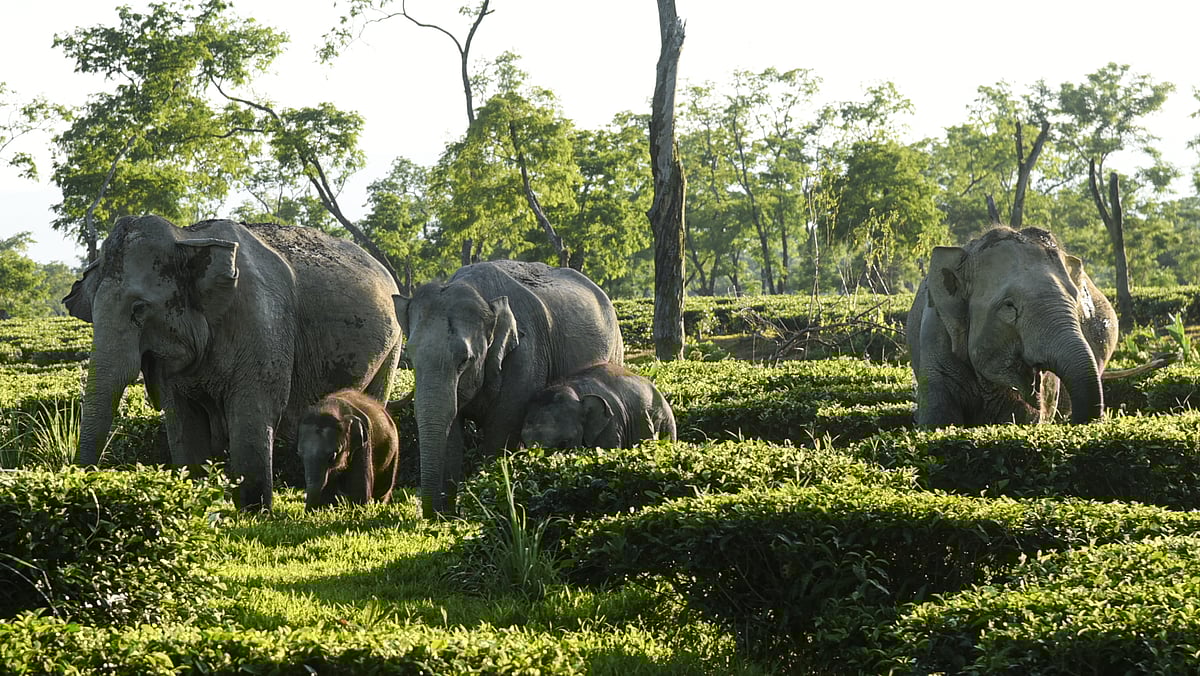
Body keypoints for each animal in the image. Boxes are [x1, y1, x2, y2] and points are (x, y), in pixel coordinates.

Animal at [63, 215, 403, 511]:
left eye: (139, 309)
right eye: (91, 310)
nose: (85, 490)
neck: (186, 237)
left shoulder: (262, 322)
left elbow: (253, 411)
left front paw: (254, 513)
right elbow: (182, 421)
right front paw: (194, 504)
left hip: (392, 349)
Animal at [394, 260, 625, 518]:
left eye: (465, 360)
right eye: (411, 357)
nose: (430, 515)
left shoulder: (525, 358)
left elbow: (500, 434)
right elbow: (451, 435)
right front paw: (447, 518)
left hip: (615, 350)